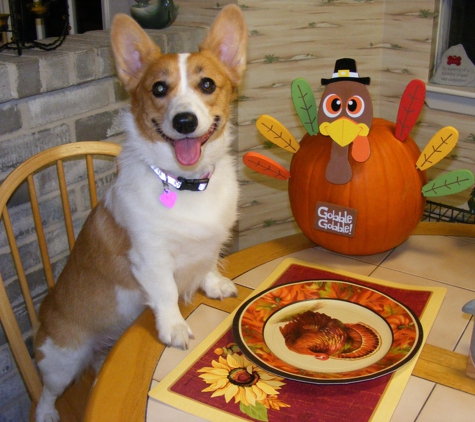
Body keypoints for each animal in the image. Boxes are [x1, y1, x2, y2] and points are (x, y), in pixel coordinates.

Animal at [33, 6, 247, 422]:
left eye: (208, 84)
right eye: (159, 89)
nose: (184, 122)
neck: (185, 183)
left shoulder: (210, 242)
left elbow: (209, 261)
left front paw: (214, 285)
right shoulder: (150, 257)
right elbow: (165, 292)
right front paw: (174, 329)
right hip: (63, 360)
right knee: (46, 393)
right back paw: (47, 412)